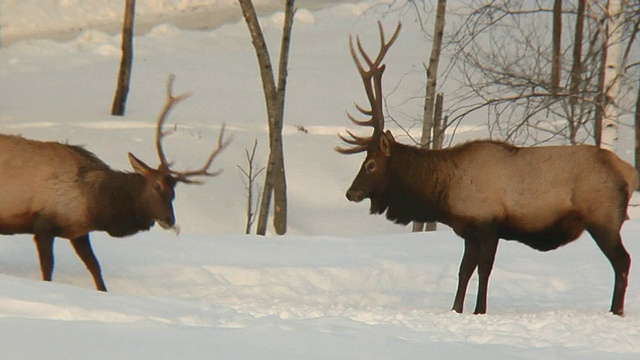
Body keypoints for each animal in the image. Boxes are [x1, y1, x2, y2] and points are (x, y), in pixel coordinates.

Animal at [0, 75, 230, 290]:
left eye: (174, 192)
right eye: (156, 186)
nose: (169, 220)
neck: (95, 205)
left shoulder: (79, 232)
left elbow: (95, 267)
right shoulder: (44, 225)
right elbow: (48, 270)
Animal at [338, 21, 636, 316]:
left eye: (371, 164)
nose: (350, 193)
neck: (442, 194)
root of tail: (629, 173)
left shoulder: (488, 224)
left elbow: (484, 270)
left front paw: (479, 310)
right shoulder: (469, 230)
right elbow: (463, 271)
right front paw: (456, 309)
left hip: (603, 217)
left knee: (623, 261)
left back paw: (616, 311)